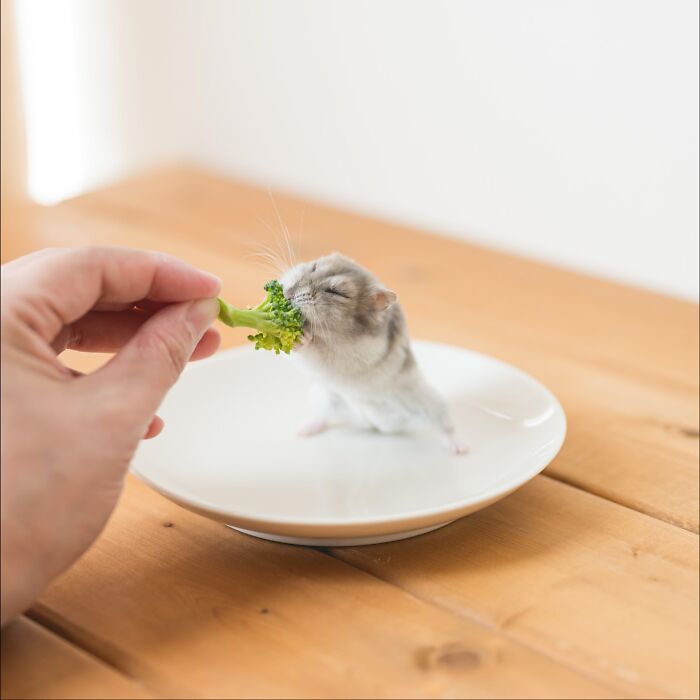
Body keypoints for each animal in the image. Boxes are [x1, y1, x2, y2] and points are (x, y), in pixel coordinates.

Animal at [279, 253, 467, 454]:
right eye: (313, 266)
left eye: (337, 292)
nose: (287, 293)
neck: (333, 334)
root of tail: (375, 426)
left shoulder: (350, 357)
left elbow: (318, 352)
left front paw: (303, 338)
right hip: (321, 397)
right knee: (322, 418)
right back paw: (304, 430)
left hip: (429, 402)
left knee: (445, 426)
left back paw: (459, 448)